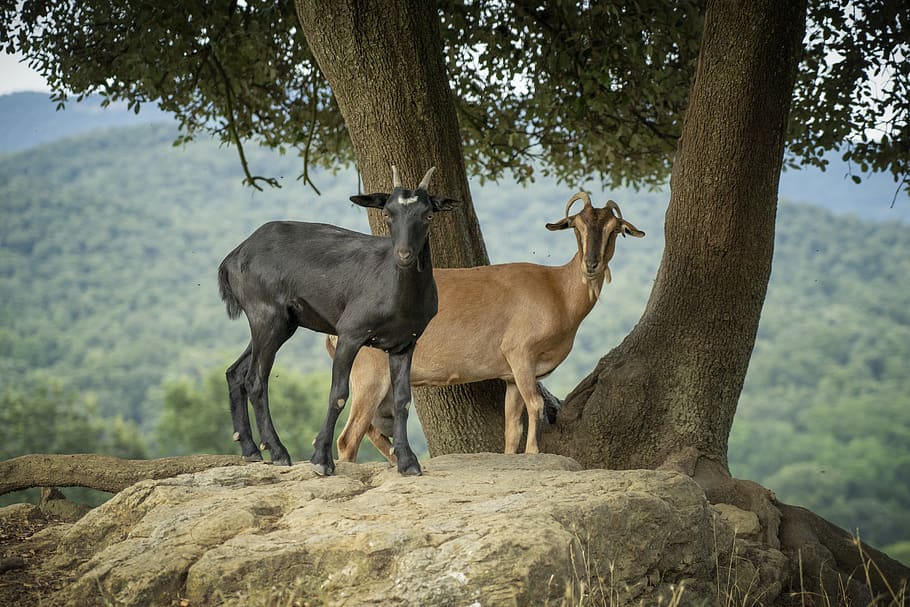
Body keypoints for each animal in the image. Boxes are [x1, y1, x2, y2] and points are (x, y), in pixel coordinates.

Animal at [218, 166, 457, 476]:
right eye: (387, 213)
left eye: (428, 215)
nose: (404, 255)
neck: (394, 289)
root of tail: (233, 258)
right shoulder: (350, 333)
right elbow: (338, 393)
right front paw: (321, 459)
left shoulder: (405, 343)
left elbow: (403, 400)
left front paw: (408, 463)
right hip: (266, 314)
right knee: (255, 379)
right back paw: (279, 452)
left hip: (282, 323)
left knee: (235, 372)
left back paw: (250, 450)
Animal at [329, 192, 645, 461]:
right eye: (576, 226)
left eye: (614, 229)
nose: (591, 265)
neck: (558, 290)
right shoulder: (520, 353)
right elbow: (536, 405)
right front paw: (533, 454)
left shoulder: (510, 376)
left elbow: (512, 426)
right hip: (369, 375)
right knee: (348, 438)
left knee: (372, 431)